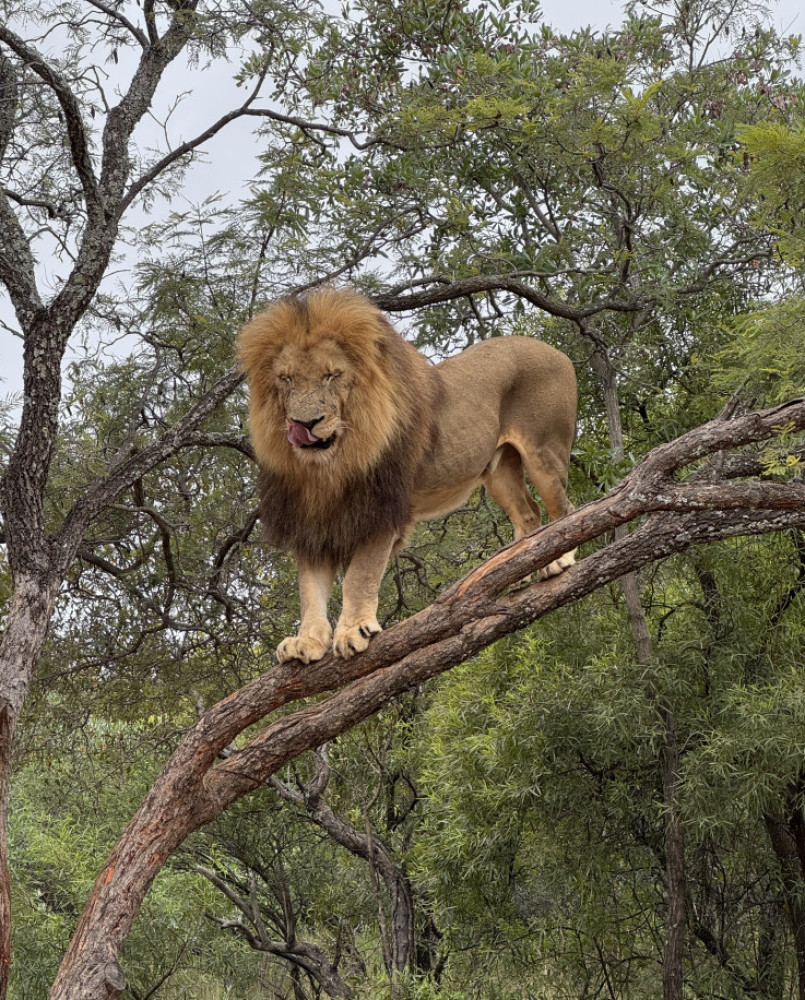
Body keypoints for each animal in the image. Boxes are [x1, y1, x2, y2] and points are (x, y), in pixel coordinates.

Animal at [237, 287, 577, 664]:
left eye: (331, 375)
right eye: (286, 379)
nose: (304, 424)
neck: (329, 467)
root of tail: (556, 351)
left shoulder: (380, 513)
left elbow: (359, 577)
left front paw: (353, 630)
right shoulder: (313, 523)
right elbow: (310, 591)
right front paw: (306, 642)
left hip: (544, 452)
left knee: (565, 510)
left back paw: (558, 559)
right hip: (499, 470)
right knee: (528, 514)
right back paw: (519, 565)